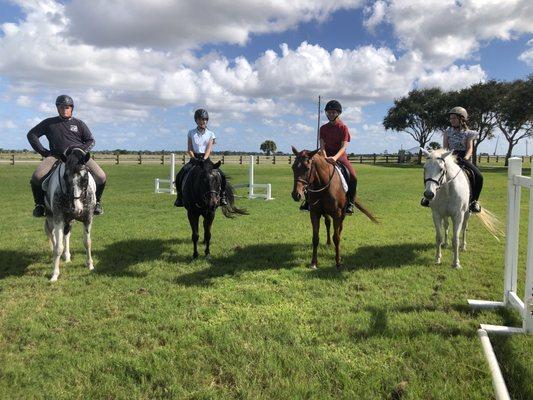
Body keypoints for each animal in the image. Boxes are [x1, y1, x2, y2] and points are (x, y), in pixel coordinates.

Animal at [42, 147, 96, 282]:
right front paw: (54, 274)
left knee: (66, 236)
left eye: (85, 178)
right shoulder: (59, 220)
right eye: (65, 177)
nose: (77, 209)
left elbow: (87, 242)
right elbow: (58, 248)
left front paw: (90, 265)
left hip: (69, 221)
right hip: (51, 219)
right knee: (52, 236)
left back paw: (67, 257)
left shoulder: (88, 219)